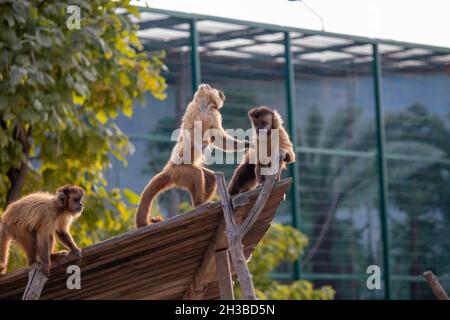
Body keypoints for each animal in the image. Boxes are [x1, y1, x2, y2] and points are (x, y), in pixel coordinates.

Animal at [135, 83, 251, 228]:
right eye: (214, 89)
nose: (220, 92)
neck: (204, 107)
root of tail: (169, 168)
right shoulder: (200, 112)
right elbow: (197, 135)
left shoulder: (210, 114)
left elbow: (220, 140)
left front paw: (247, 144)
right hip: (180, 172)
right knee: (196, 173)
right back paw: (198, 204)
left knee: (211, 177)